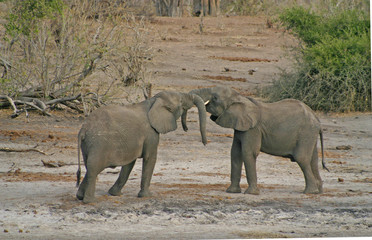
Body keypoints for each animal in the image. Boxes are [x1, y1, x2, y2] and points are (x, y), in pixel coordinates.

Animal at [76, 90, 208, 202]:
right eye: (180, 101)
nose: (205, 143)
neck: (153, 101)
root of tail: (83, 129)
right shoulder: (151, 133)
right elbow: (150, 158)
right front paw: (147, 196)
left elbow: (129, 163)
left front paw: (115, 194)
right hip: (98, 144)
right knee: (94, 168)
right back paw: (90, 201)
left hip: (88, 145)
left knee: (89, 166)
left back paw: (80, 196)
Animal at [189, 86, 328, 195]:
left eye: (215, 98)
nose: (205, 143)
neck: (240, 98)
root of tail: (317, 121)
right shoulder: (240, 127)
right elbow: (235, 153)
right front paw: (231, 191)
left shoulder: (253, 129)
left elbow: (248, 153)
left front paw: (251, 193)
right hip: (309, 135)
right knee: (313, 159)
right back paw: (318, 191)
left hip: (306, 133)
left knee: (302, 158)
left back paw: (310, 192)